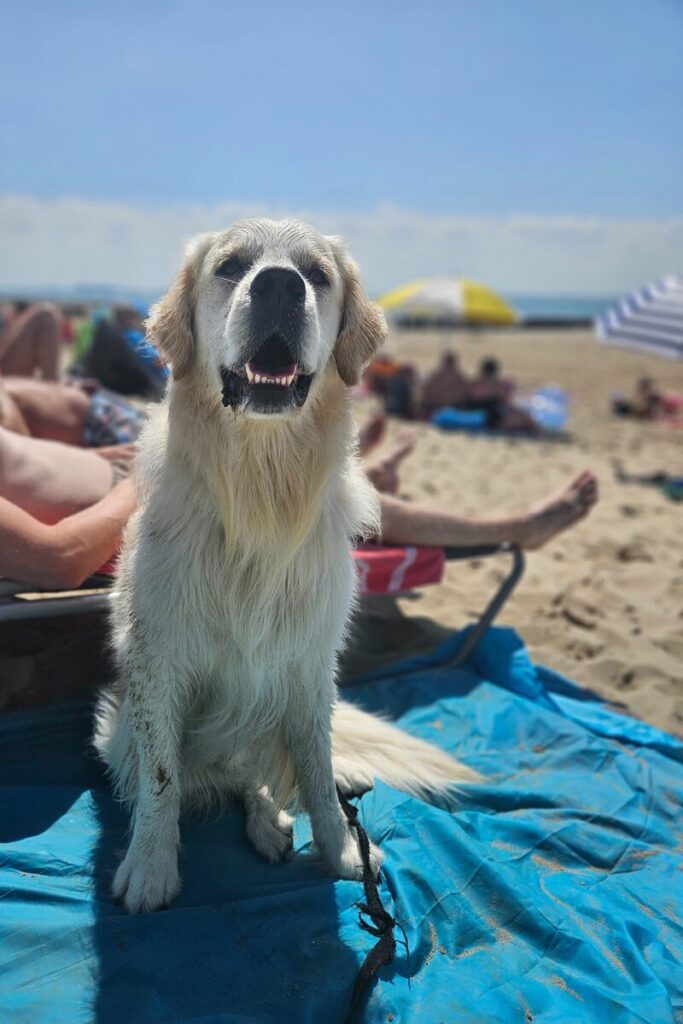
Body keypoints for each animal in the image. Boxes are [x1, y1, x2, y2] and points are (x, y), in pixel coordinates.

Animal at [93, 218, 473, 913]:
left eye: (316, 275)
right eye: (230, 266)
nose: (277, 286)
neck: (260, 487)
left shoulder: (310, 665)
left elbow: (317, 774)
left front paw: (344, 852)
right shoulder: (157, 662)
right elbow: (161, 781)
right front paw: (151, 866)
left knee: (263, 773)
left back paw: (274, 820)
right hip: (118, 732)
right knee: (195, 776)